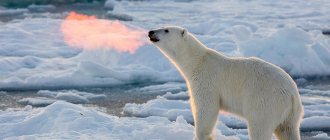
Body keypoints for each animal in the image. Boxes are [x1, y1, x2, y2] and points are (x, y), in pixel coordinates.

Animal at [148, 26, 302, 140]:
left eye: (166, 30)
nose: (151, 32)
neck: (197, 62)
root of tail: (292, 94)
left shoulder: (206, 81)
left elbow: (206, 109)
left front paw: (201, 135)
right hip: (290, 114)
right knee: (287, 131)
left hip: (265, 102)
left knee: (260, 127)